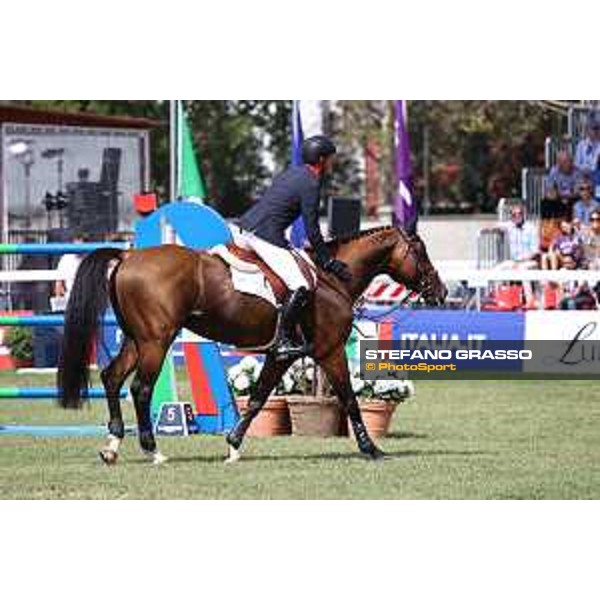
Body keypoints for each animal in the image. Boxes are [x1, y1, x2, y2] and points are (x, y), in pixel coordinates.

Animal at [57, 225, 446, 464]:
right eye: (421, 251)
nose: (440, 292)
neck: (332, 278)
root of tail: (128, 256)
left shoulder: (279, 355)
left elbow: (258, 398)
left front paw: (232, 446)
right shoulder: (329, 351)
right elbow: (350, 400)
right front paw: (372, 448)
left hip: (138, 340)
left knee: (112, 378)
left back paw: (112, 447)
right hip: (156, 340)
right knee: (140, 388)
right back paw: (153, 451)